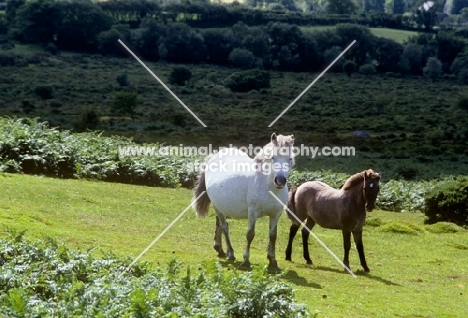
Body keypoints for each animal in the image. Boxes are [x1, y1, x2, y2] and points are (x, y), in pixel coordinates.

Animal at [192, 133, 294, 270]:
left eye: (290, 158)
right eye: (273, 157)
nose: (280, 180)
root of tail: (215, 155)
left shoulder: (276, 214)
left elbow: (273, 236)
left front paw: (272, 260)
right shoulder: (253, 212)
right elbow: (250, 234)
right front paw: (246, 260)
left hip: (222, 205)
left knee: (219, 224)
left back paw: (220, 249)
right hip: (218, 208)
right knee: (224, 227)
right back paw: (230, 253)